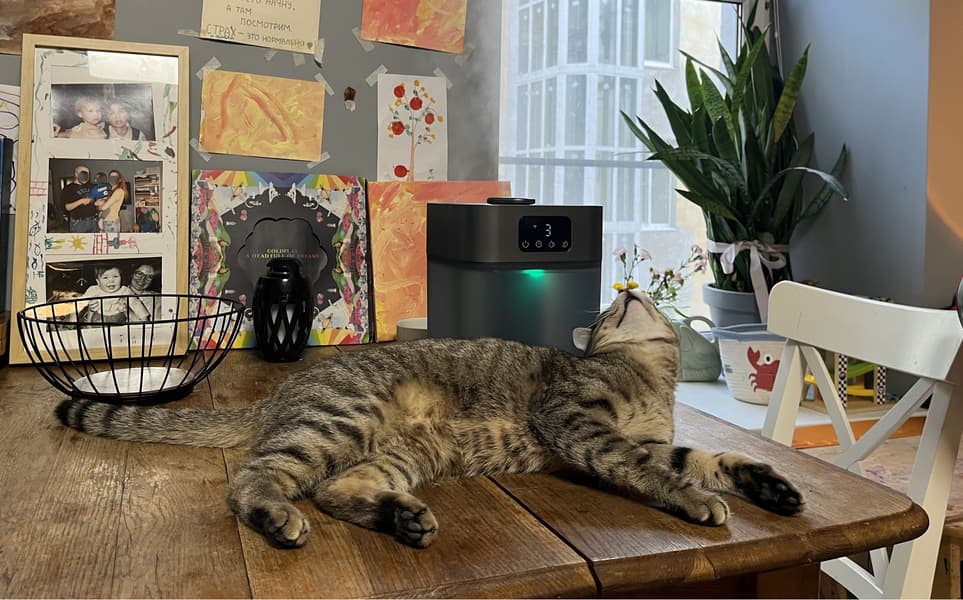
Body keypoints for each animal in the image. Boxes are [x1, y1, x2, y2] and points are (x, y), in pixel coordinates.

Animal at [55, 289, 803, 549]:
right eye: (608, 314)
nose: (625, 289)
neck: (651, 376)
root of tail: (282, 393)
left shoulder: (645, 437)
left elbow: (703, 458)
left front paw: (768, 485)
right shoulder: (575, 418)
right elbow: (652, 469)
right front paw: (694, 499)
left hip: (397, 453)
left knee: (337, 489)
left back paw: (403, 518)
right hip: (340, 422)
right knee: (250, 481)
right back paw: (276, 516)